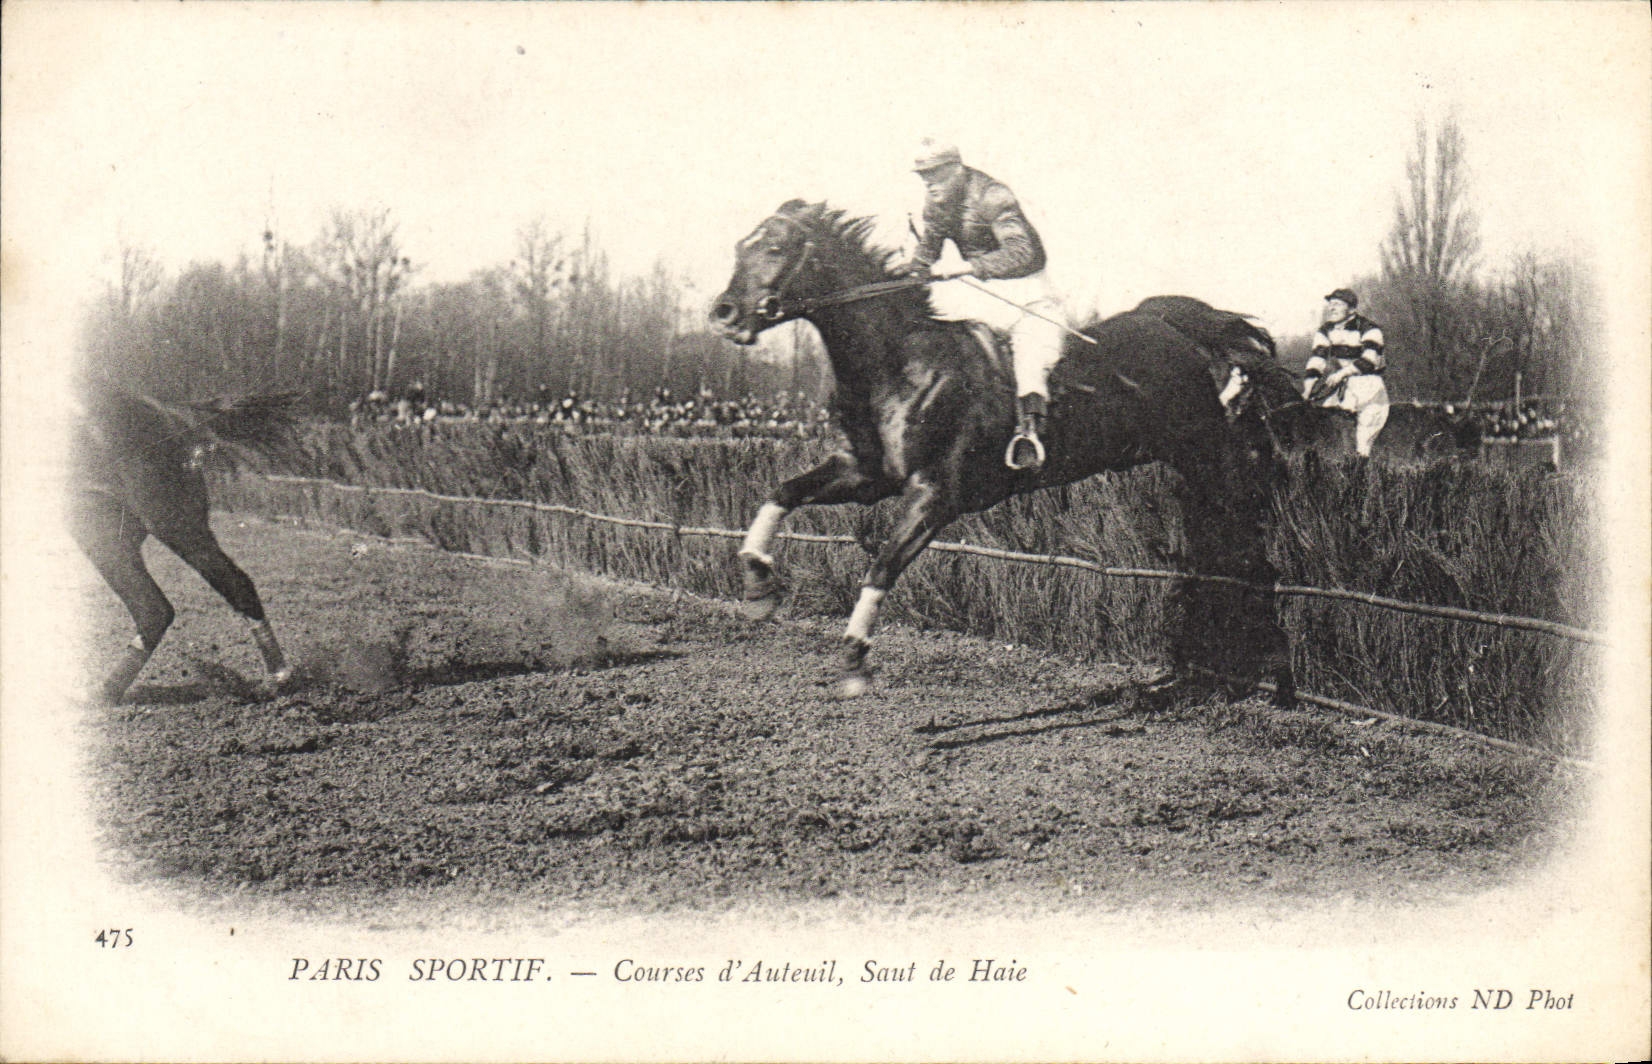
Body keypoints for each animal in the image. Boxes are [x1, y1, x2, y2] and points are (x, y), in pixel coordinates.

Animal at [710, 200, 1293, 701]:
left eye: (775, 248)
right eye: (739, 246)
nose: (723, 313)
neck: (903, 364)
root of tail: (1171, 320)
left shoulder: (937, 495)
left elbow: (881, 567)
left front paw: (854, 659)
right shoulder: (867, 475)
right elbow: (781, 492)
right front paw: (758, 585)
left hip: (1209, 453)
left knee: (1255, 551)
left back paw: (1276, 674)